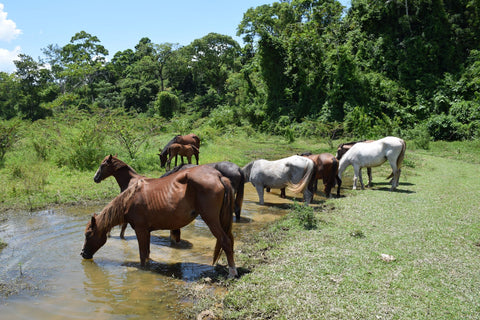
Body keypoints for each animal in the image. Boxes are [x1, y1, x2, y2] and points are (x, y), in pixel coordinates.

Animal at [83, 165, 239, 278]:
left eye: (88, 235)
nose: (83, 254)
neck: (129, 200)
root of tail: (218, 176)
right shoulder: (147, 231)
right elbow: (147, 253)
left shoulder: (140, 230)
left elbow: (142, 255)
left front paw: (143, 271)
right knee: (229, 240)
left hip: (211, 219)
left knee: (225, 241)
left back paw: (232, 273)